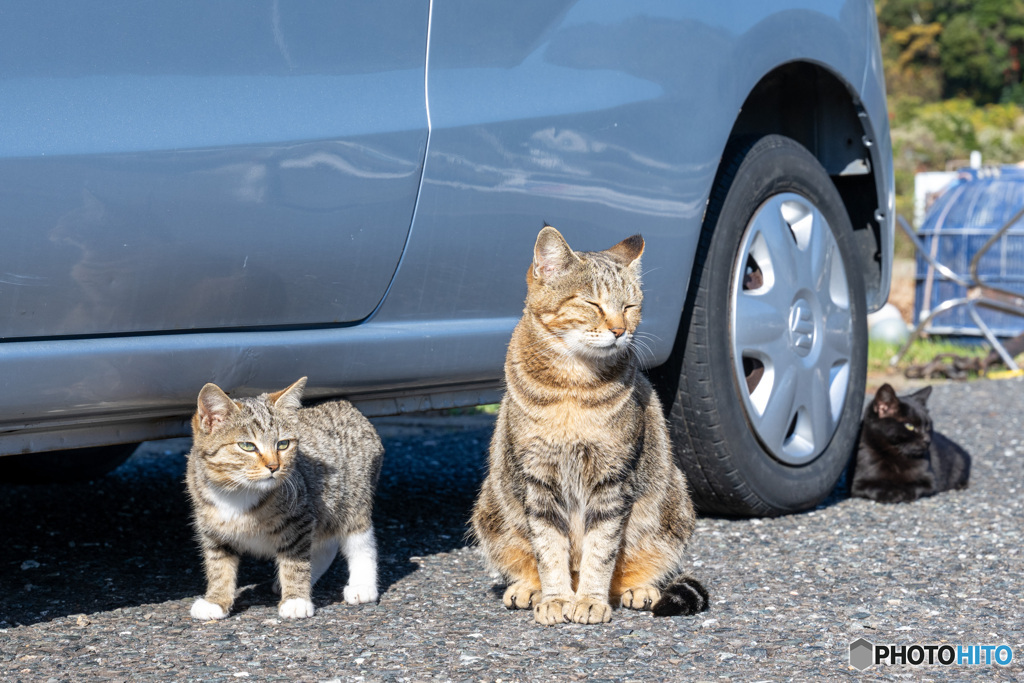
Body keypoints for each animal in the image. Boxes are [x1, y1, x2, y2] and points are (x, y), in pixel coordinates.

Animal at [185, 376, 385, 622]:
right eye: (247, 446)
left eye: (283, 444)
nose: (274, 466)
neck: (237, 492)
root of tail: (346, 406)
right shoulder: (213, 528)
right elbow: (218, 564)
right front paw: (216, 600)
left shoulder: (299, 518)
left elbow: (295, 560)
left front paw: (296, 600)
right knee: (325, 545)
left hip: (352, 497)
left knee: (359, 540)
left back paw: (362, 586)